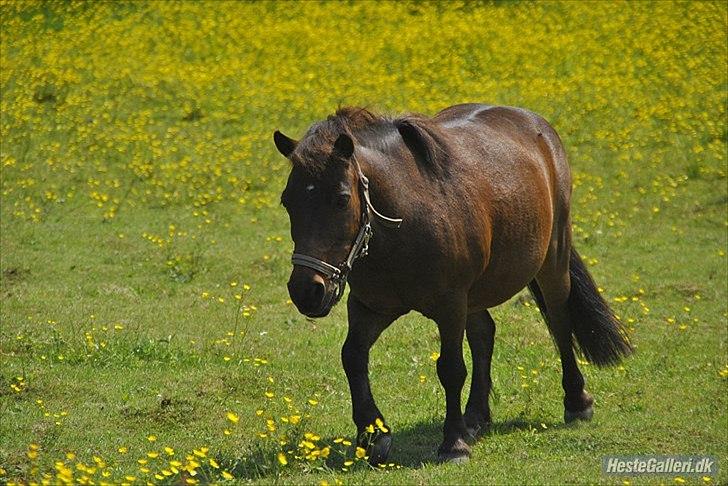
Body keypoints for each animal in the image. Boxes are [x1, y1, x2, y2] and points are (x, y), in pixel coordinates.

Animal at [272, 105, 632, 464]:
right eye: (287, 201)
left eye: (342, 200)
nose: (306, 291)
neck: (404, 223)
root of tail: (534, 122)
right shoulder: (370, 306)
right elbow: (353, 356)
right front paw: (373, 435)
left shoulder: (450, 306)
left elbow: (451, 369)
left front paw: (453, 443)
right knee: (484, 333)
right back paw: (476, 416)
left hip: (552, 263)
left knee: (558, 322)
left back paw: (576, 400)